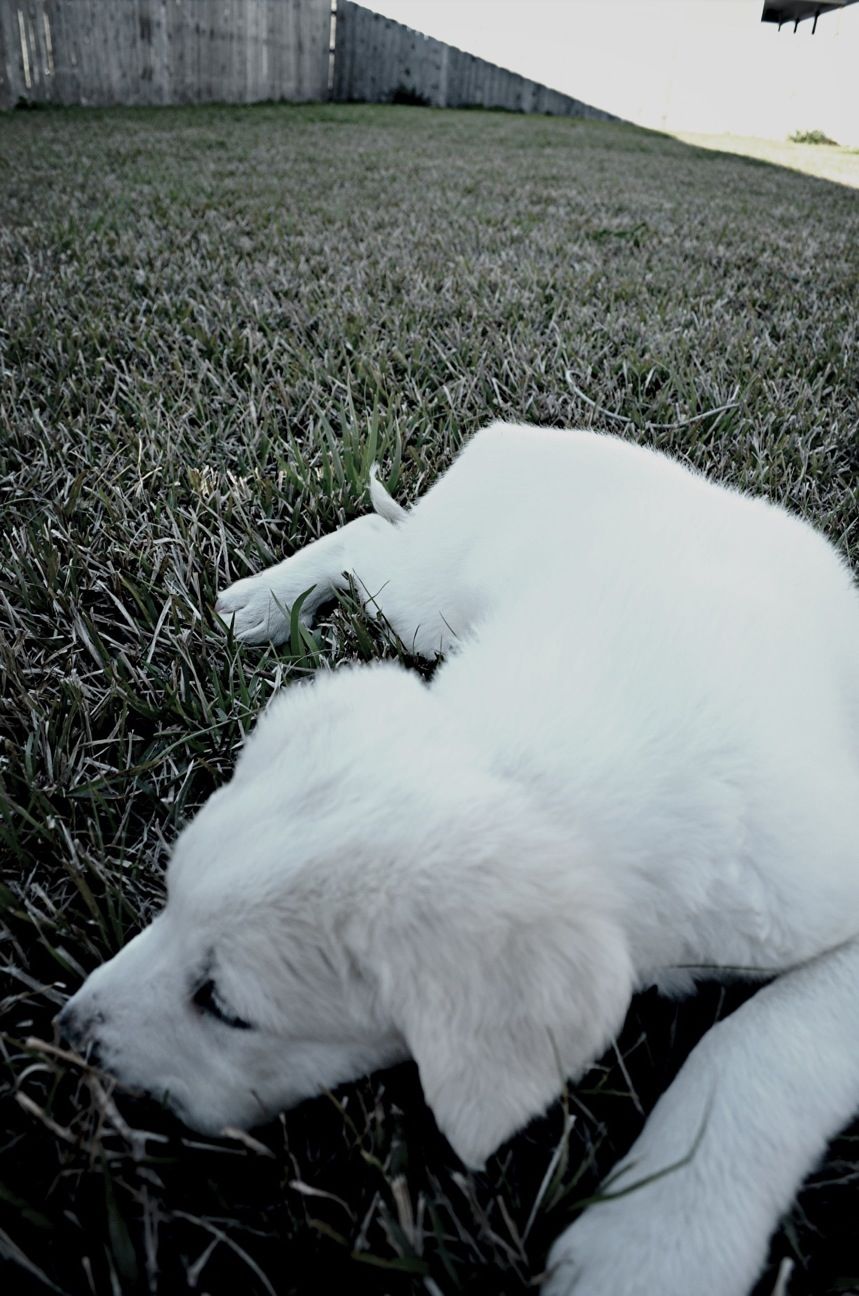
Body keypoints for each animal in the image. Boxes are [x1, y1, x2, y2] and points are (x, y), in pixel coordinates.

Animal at [60, 419, 859, 1290]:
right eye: (168, 903)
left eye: (227, 1009)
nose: (67, 1034)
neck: (526, 765)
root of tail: (522, 433)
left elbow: (756, 1045)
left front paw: (655, 1242)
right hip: (425, 602)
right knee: (369, 536)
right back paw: (266, 601)